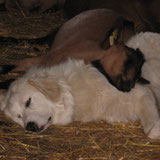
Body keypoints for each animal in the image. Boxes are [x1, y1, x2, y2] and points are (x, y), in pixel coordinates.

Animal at [0, 9, 146, 92]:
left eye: (138, 73)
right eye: (127, 58)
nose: (129, 86)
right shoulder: (42, 60)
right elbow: (7, 68)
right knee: (41, 38)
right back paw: (5, 39)